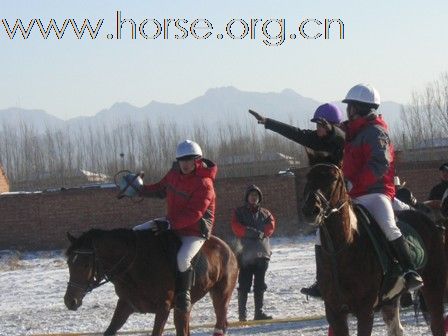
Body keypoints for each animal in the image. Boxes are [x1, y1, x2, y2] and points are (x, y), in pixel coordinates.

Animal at [64, 228, 238, 336]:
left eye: (86, 265)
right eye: (69, 263)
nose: (70, 301)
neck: (133, 265)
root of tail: (227, 247)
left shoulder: (163, 307)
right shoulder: (126, 304)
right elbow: (110, 330)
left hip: (221, 296)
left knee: (221, 323)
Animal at [302, 162, 446, 334]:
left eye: (333, 178)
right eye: (308, 177)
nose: (311, 210)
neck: (342, 248)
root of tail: (431, 221)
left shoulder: (365, 310)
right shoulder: (334, 311)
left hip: (434, 284)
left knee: (437, 325)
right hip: (391, 300)